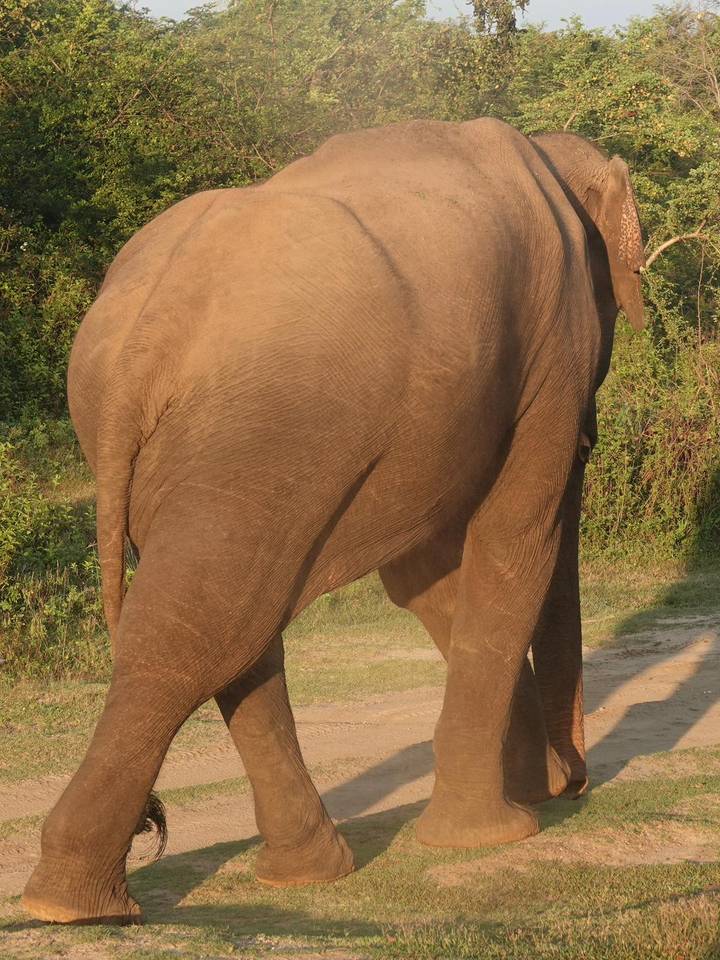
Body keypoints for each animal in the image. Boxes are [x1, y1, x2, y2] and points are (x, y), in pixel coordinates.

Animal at [22, 117, 645, 925]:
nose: (574, 784)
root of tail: (141, 339)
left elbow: (424, 576)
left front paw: (516, 800)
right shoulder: (549, 350)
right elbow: (511, 544)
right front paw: (495, 835)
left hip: (208, 446)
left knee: (233, 620)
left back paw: (291, 876)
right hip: (260, 432)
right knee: (206, 632)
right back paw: (76, 907)